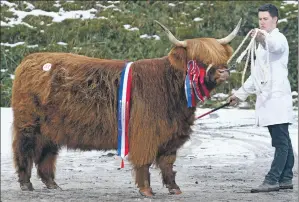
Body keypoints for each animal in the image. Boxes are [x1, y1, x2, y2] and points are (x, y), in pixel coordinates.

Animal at [11, 19, 243, 196]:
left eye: (221, 56)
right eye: (199, 59)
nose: (223, 71)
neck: (171, 88)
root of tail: (29, 59)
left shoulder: (171, 134)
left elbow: (168, 163)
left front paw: (174, 188)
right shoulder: (145, 132)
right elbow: (144, 161)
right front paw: (146, 190)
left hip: (51, 128)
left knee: (46, 154)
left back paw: (52, 184)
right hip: (29, 125)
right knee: (24, 150)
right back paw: (26, 184)